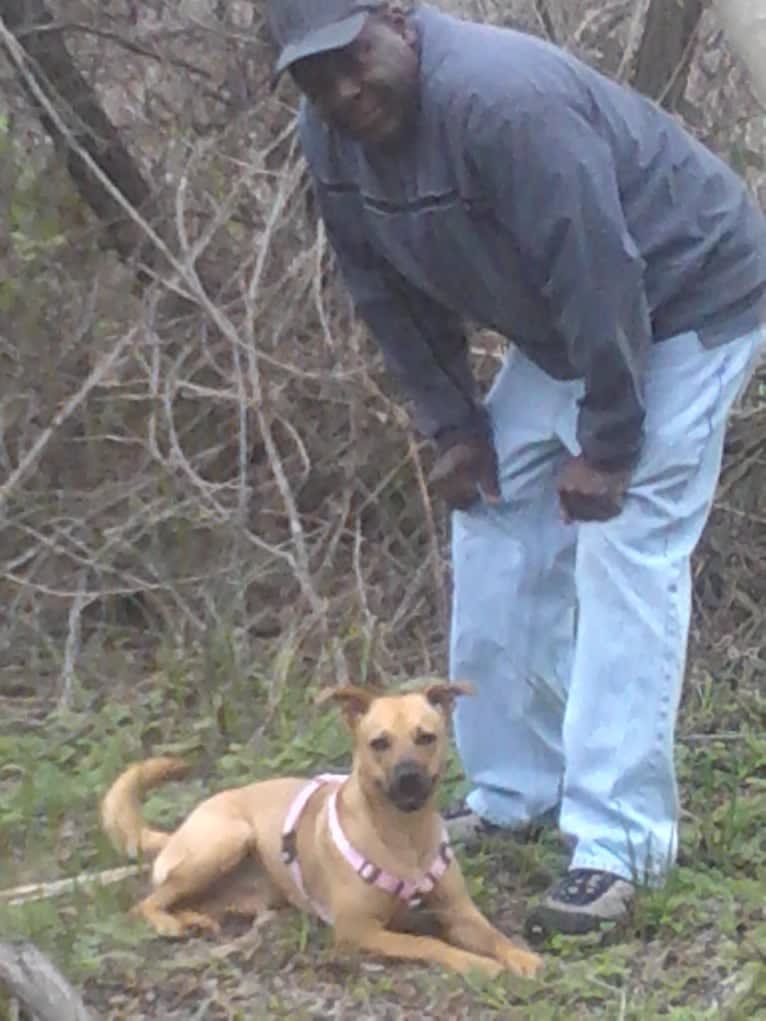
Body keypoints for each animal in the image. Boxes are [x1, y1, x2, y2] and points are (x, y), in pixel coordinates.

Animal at [100, 682, 547, 976]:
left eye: (426, 737)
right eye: (378, 743)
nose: (408, 777)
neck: (405, 837)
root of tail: (179, 830)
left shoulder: (459, 912)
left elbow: (494, 935)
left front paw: (520, 957)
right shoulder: (358, 930)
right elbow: (428, 943)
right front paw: (474, 963)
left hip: (244, 893)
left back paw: (194, 919)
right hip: (227, 841)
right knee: (145, 903)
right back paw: (169, 923)